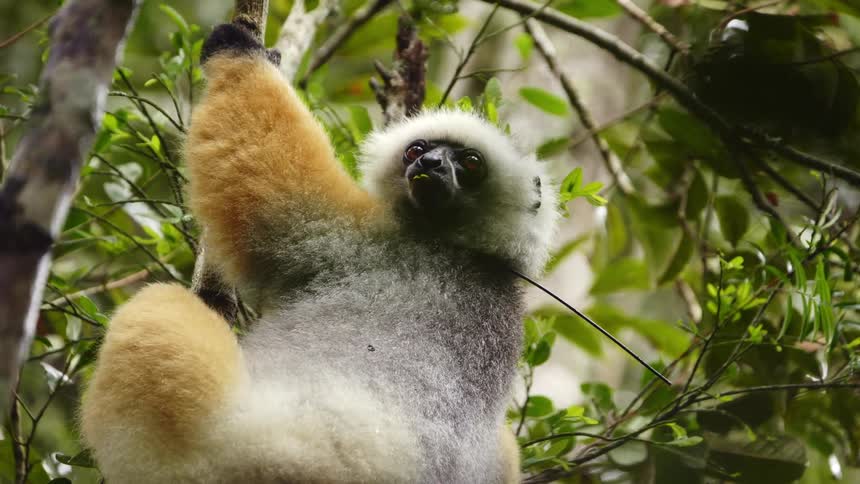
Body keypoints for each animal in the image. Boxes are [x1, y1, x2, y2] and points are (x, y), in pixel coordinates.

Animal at [79, 18, 559, 484]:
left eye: (471, 164)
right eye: (417, 149)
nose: (430, 165)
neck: (467, 248)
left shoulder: (366, 244)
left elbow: (273, 196)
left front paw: (242, 52)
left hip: (238, 447)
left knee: (157, 311)